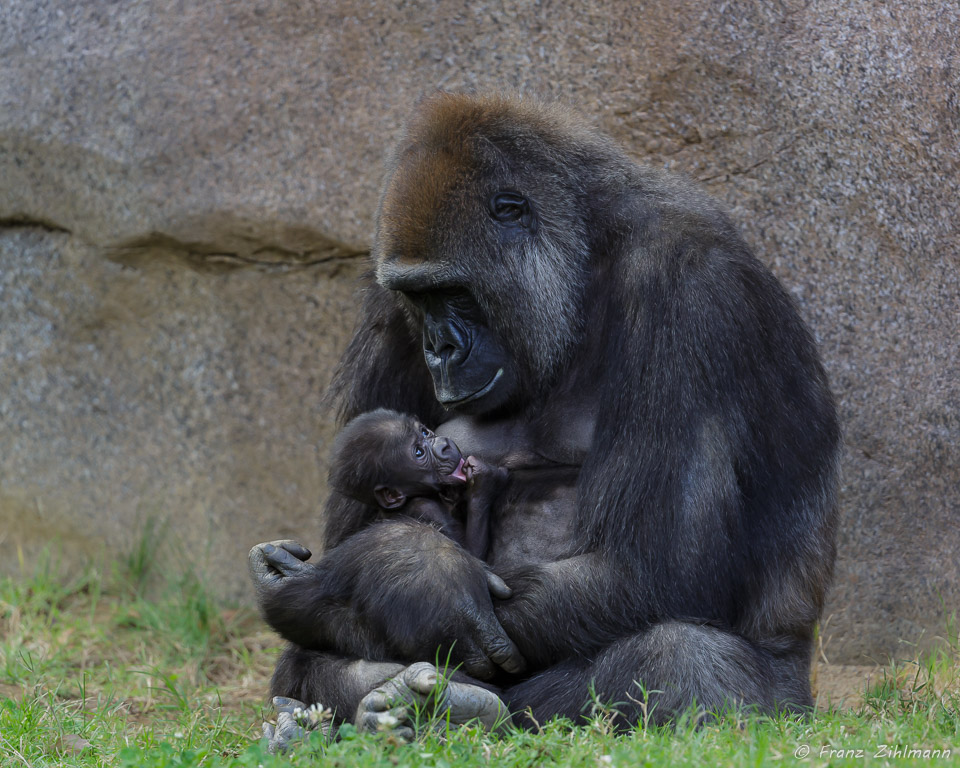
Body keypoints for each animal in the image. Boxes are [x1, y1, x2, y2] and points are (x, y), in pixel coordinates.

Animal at [328, 408, 510, 560]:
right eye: (418, 452)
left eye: (424, 431)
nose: (444, 445)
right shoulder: (426, 508)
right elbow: (468, 553)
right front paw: (484, 482)